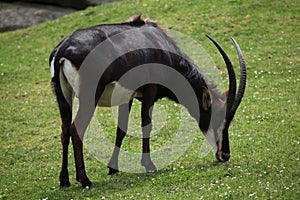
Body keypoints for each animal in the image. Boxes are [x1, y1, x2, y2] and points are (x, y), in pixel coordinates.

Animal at [49, 15, 246, 188]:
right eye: (220, 118)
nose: (225, 155)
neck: (160, 45)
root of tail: (63, 49)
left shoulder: (126, 97)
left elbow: (121, 129)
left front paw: (113, 168)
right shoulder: (150, 91)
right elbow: (147, 125)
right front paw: (149, 165)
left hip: (63, 97)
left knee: (64, 131)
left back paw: (64, 180)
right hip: (89, 97)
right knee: (76, 130)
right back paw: (85, 180)